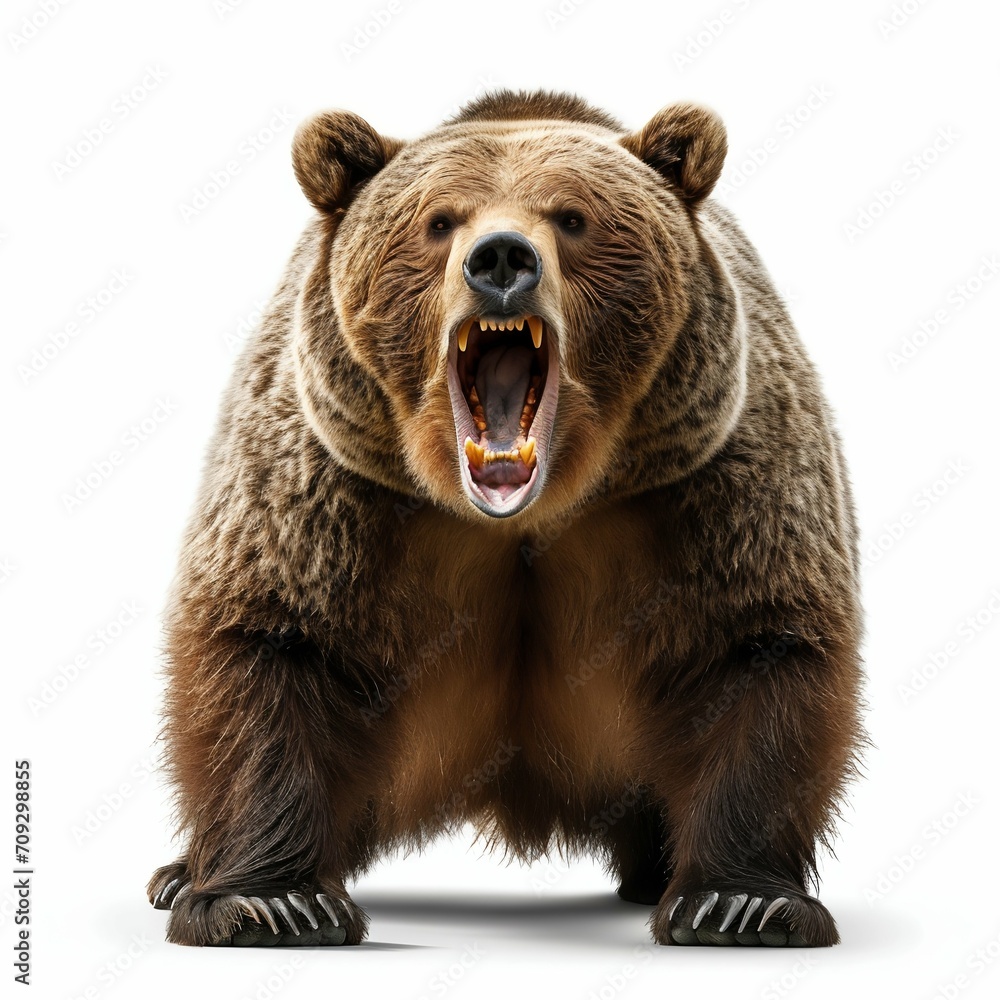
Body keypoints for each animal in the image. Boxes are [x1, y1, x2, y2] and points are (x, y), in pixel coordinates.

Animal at [147, 89, 864, 948]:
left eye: (573, 217)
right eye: (439, 220)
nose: (499, 260)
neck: (525, 511)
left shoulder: (713, 481)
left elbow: (757, 648)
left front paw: (739, 903)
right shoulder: (329, 486)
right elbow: (272, 643)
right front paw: (274, 903)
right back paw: (178, 872)